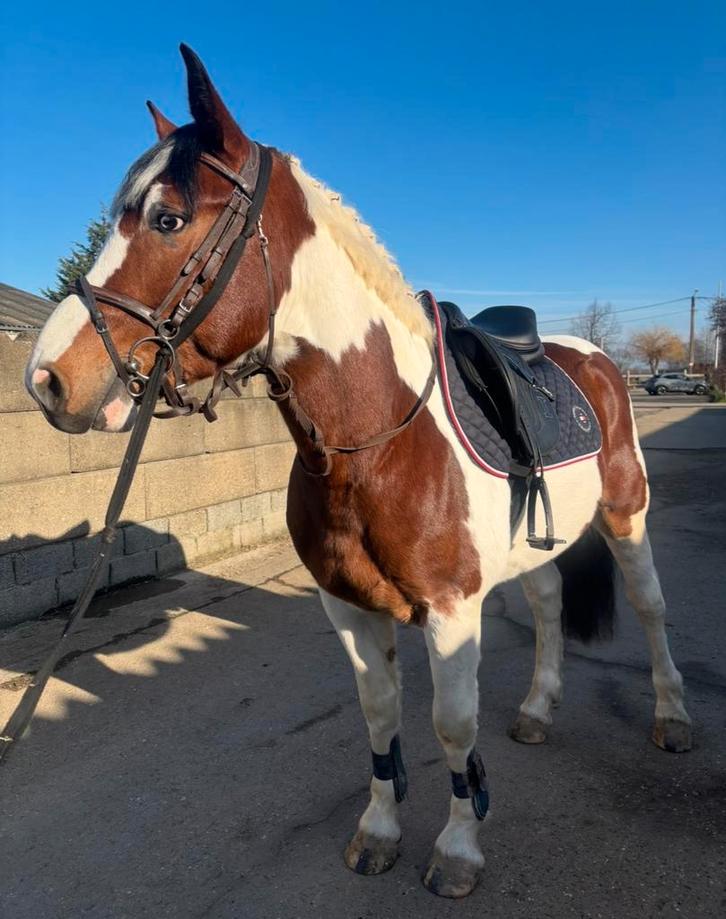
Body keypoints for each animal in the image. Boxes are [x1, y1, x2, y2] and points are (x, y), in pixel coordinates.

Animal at [25, 45, 692, 899]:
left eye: (168, 218)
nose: (47, 380)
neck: (375, 441)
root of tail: (596, 359)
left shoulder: (450, 612)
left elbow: (452, 725)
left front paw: (458, 847)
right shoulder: (346, 606)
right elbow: (380, 717)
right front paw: (378, 831)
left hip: (626, 515)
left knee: (649, 607)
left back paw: (672, 718)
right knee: (546, 604)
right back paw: (540, 710)